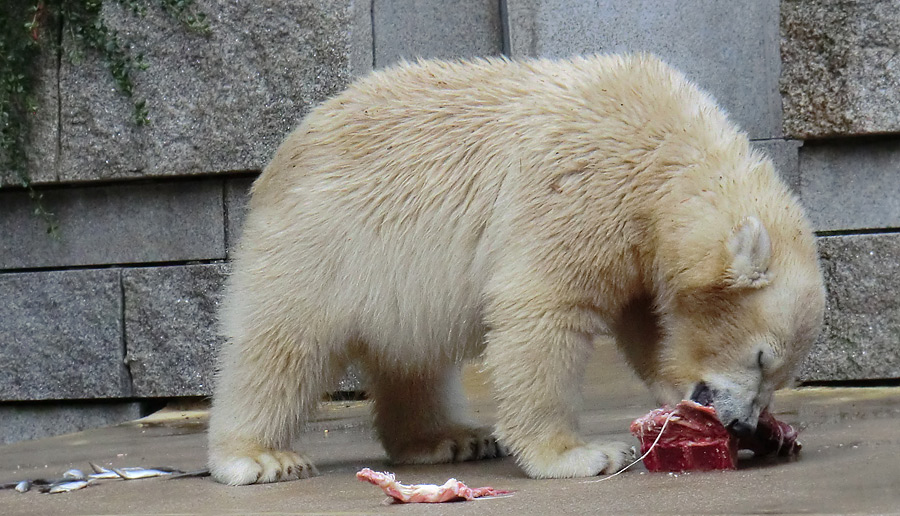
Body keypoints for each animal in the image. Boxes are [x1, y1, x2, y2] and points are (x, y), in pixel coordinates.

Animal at [207, 54, 828, 486]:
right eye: (761, 357)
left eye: (777, 375)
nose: (741, 424)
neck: (659, 150)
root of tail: (284, 153)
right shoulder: (578, 189)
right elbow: (542, 312)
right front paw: (580, 454)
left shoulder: (637, 244)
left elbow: (650, 326)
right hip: (323, 241)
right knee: (282, 343)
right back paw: (259, 458)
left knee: (413, 357)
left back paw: (448, 439)